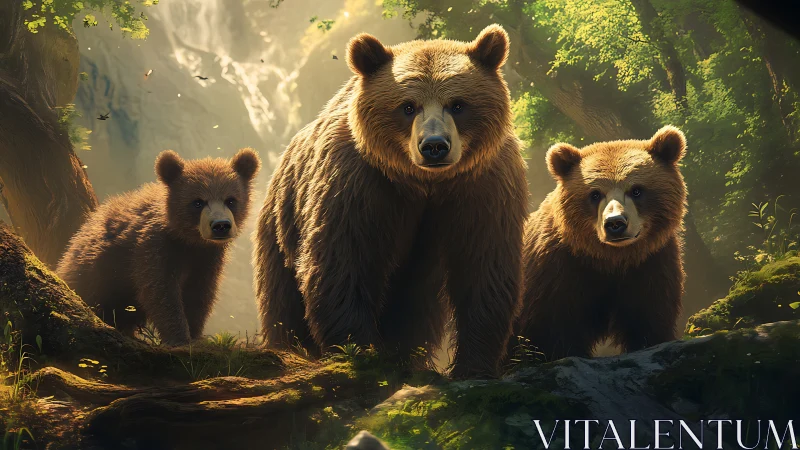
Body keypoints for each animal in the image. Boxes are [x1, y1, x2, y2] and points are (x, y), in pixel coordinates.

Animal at [57, 148, 261, 346]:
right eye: (197, 202)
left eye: (231, 200)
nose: (221, 225)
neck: (187, 241)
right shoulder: (152, 248)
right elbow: (160, 291)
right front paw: (179, 337)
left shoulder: (207, 257)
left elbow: (200, 293)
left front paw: (196, 334)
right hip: (93, 273)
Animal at [252, 24, 528, 378]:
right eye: (408, 106)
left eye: (457, 104)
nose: (434, 146)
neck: (423, 184)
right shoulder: (359, 183)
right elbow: (343, 260)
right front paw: (362, 352)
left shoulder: (482, 184)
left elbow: (484, 264)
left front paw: (474, 365)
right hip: (279, 226)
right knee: (283, 304)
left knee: (414, 306)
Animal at [512, 126, 687, 361]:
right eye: (595, 194)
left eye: (636, 190)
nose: (615, 223)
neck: (609, 258)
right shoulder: (556, 270)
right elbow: (550, 328)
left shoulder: (651, 263)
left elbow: (649, 315)